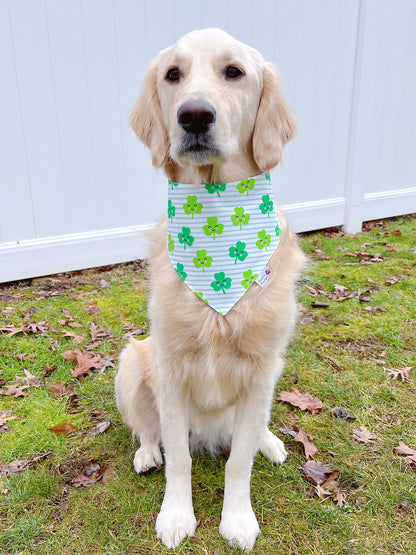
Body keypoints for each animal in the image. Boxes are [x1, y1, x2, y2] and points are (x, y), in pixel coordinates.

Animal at [115, 29, 304, 552]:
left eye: (233, 72)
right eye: (172, 75)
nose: (194, 116)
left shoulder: (260, 370)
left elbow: (240, 462)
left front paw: (237, 519)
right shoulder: (172, 369)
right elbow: (179, 457)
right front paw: (176, 515)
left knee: (250, 434)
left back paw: (269, 441)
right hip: (130, 365)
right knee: (149, 431)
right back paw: (146, 453)